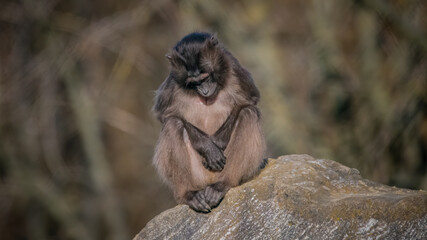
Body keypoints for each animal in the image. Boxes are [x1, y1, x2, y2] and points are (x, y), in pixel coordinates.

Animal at [155, 32, 266, 214]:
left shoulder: (234, 69)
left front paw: (218, 142)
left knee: (248, 114)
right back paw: (189, 194)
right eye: (193, 83)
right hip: (198, 176)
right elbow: (165, 115)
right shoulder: (173, 82)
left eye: (205, 77)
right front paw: (208, 148)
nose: (204, 91)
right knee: (173, 124)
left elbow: (250, 101)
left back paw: (222, 185)